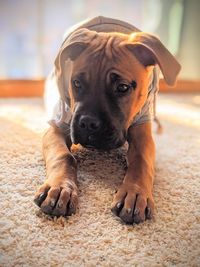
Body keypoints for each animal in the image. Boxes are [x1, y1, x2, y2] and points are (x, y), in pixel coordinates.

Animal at [33, 14, 180, 224]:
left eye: (123, 87)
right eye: (76, 83)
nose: (87, 123)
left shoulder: (142, 130)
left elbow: (141, 159)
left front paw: (135, 193)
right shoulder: (57, 127)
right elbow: (63, 156)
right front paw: (60, 188)